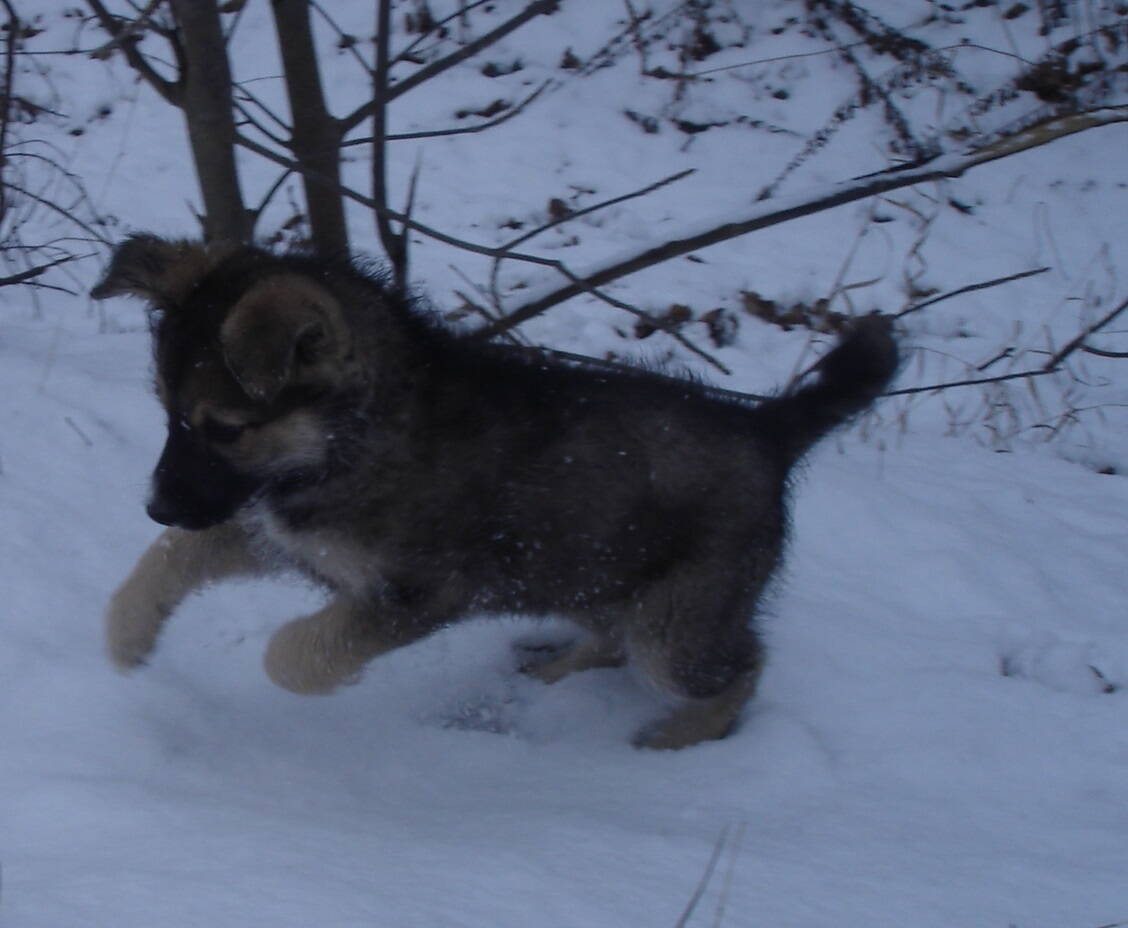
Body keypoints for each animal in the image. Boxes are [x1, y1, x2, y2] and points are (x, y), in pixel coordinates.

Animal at [92, 234, 898, 750]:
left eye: (224, 428)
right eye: (167, 411)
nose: (155, 503)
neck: (352, 439)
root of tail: (768, 427)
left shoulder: (417, 592)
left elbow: (298, 653)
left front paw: (299, 668)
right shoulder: (278, 534)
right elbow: (168, 558)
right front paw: (128, 637)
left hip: (677, 620)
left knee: (739, 669)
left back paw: (673, 739)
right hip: (592, 571)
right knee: (614, 640)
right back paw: (550, 672)